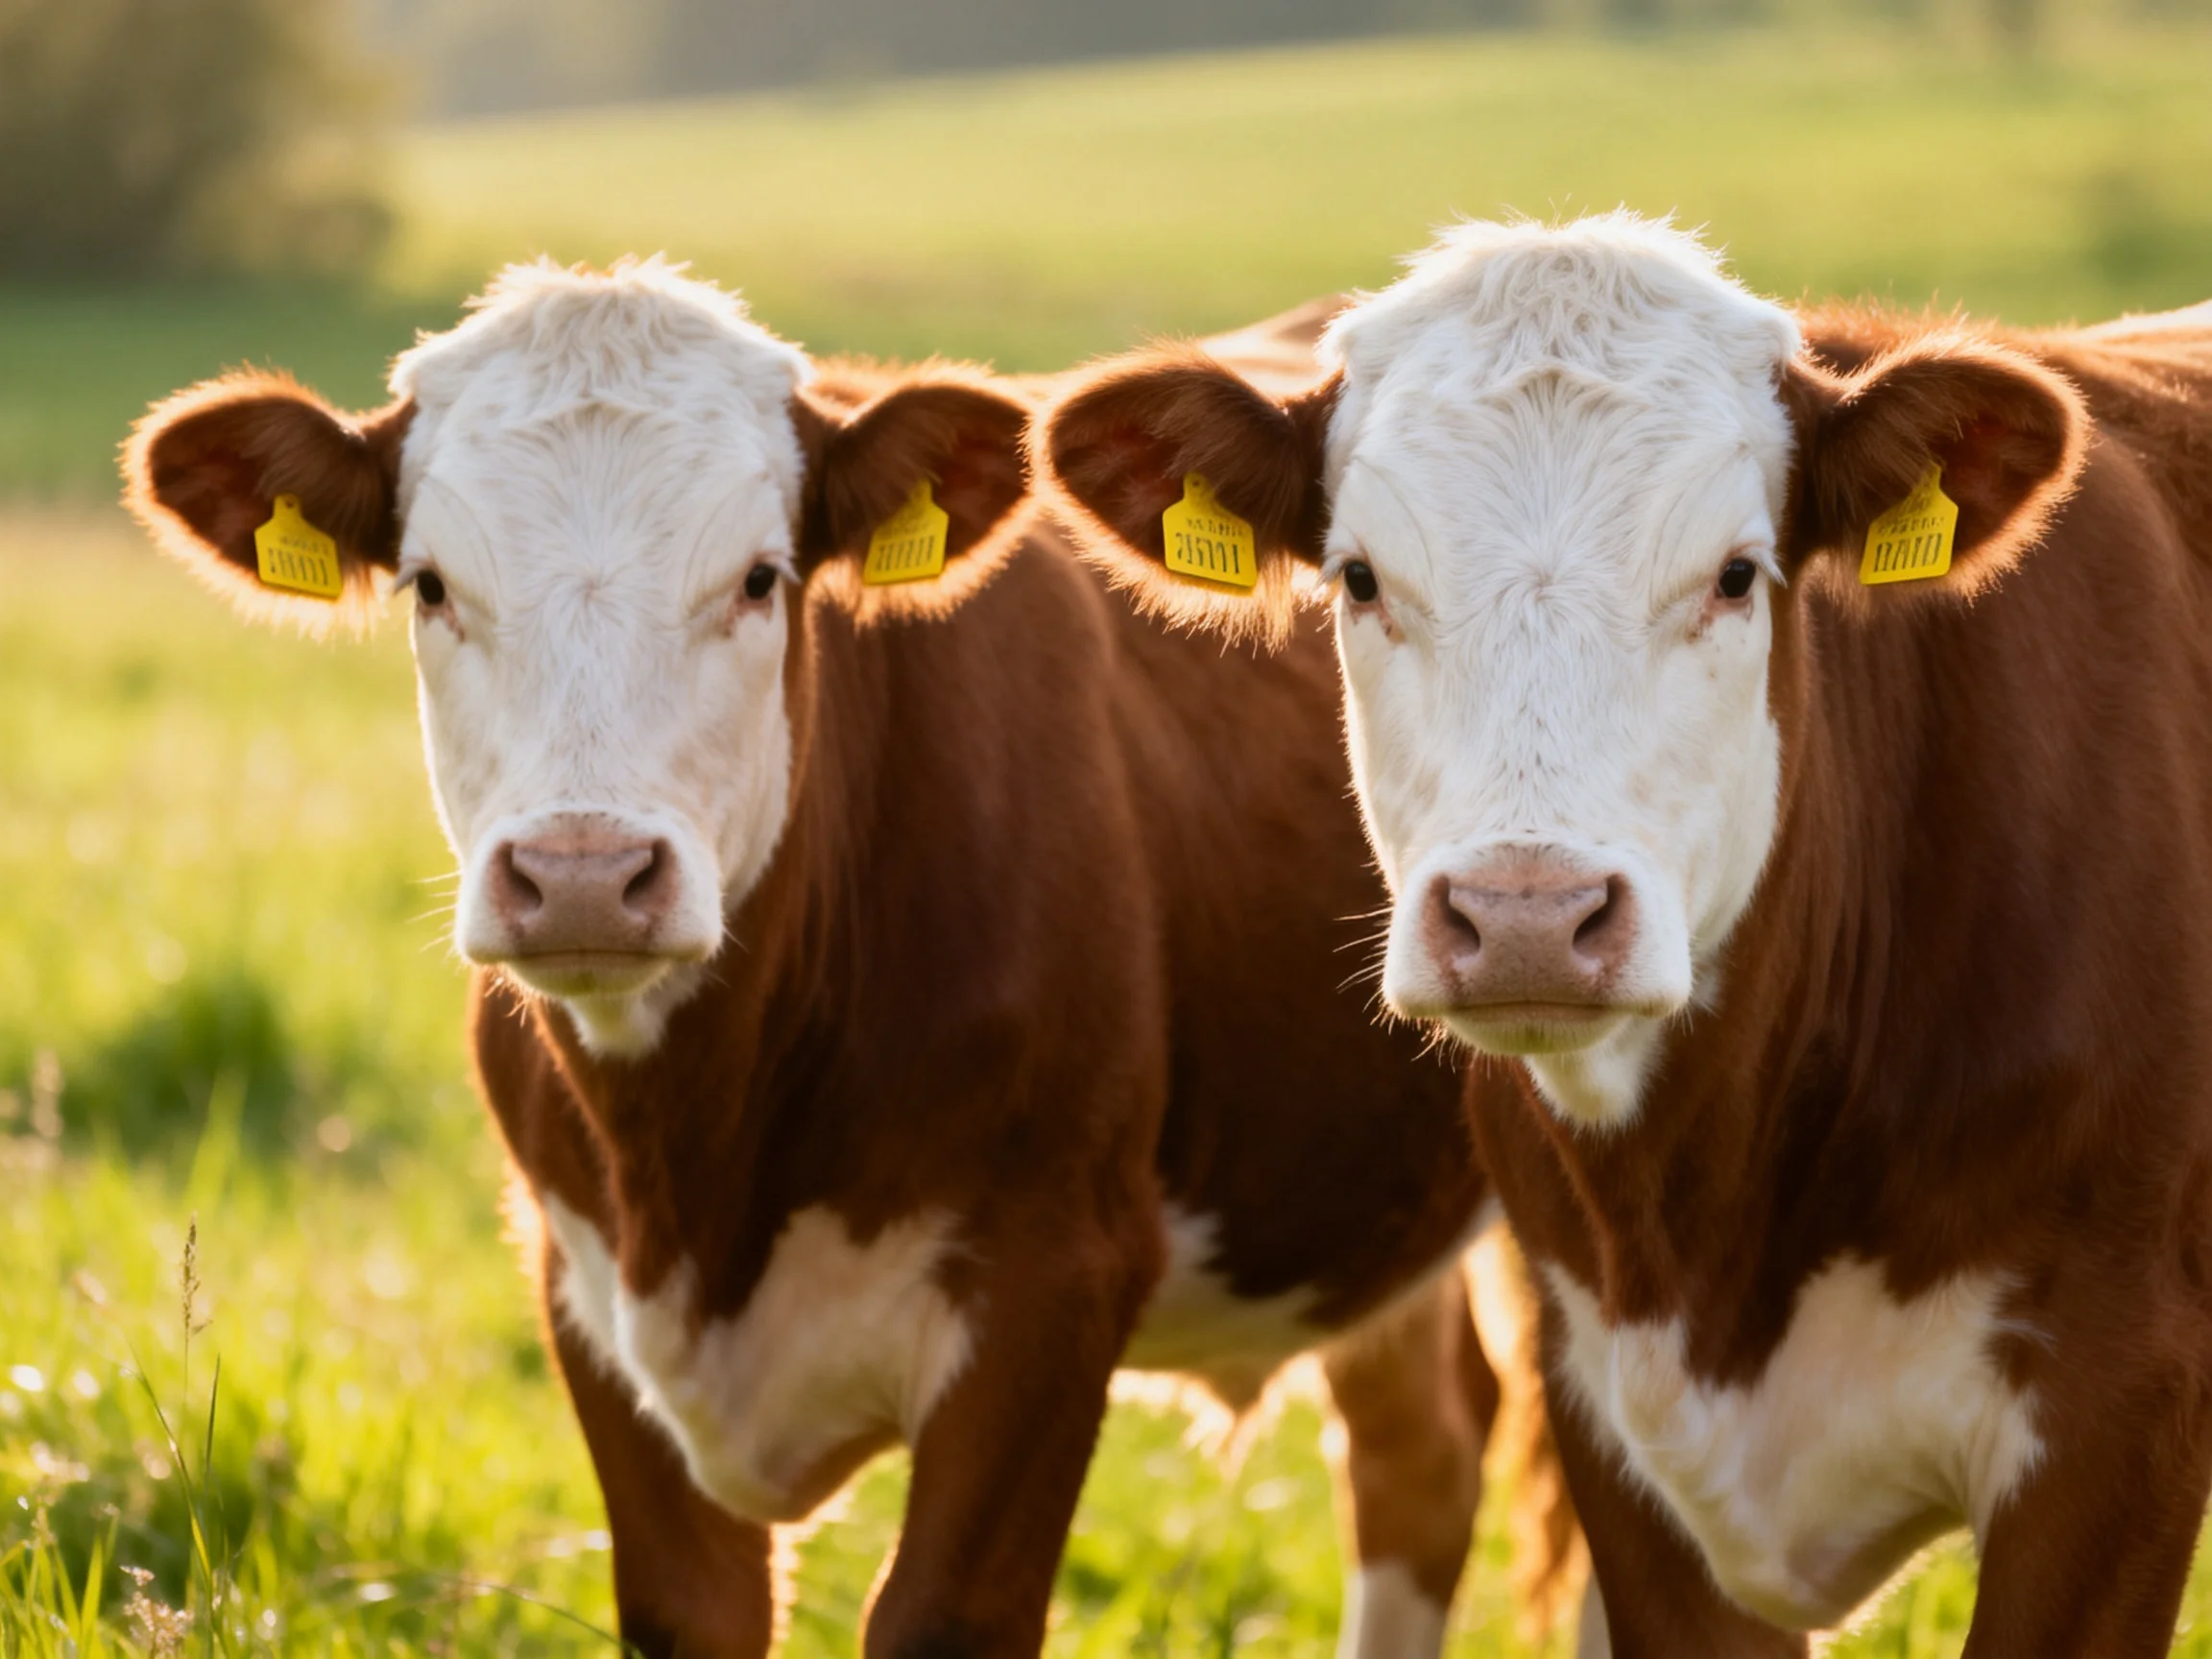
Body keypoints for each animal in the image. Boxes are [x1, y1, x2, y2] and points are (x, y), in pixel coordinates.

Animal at [122, 260, 1579, 1659]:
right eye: (430, 585)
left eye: (760, 577)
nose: (585, 875)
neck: (701, 1174)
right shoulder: (582, 1287)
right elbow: (693, 1613)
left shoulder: (1057, 1279)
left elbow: (938, 1616)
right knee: (1420, 1454)